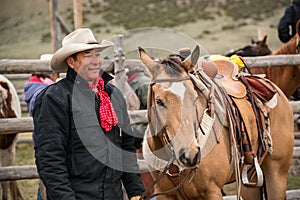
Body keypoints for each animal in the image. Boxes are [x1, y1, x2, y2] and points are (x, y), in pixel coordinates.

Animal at [139, 45, 294, 200]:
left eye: (195, 97)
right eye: (159, 101)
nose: (191, 155)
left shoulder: (212, 191)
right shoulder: (164, 194)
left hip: (276, 174)